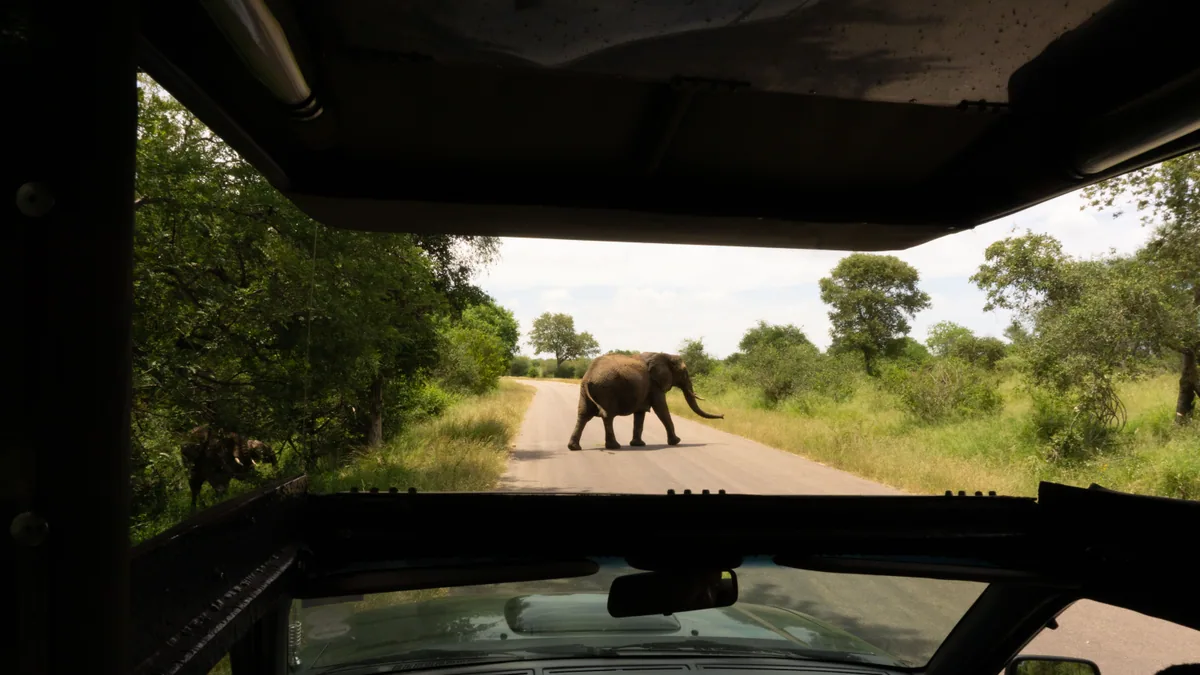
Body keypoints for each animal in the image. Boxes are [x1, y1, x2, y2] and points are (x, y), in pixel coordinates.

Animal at [567, 352, 724, 451]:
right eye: (684, 373)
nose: (723, 416)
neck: (665, 355)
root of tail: (589, 376)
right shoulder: (655, 385)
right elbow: (661, 408)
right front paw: (677, 441)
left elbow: (640, 413)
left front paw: (638, 444)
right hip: (606, 390)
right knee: (607, 416)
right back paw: (614, 446)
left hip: (586, 392)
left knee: (583, 415)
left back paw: (574, 447)